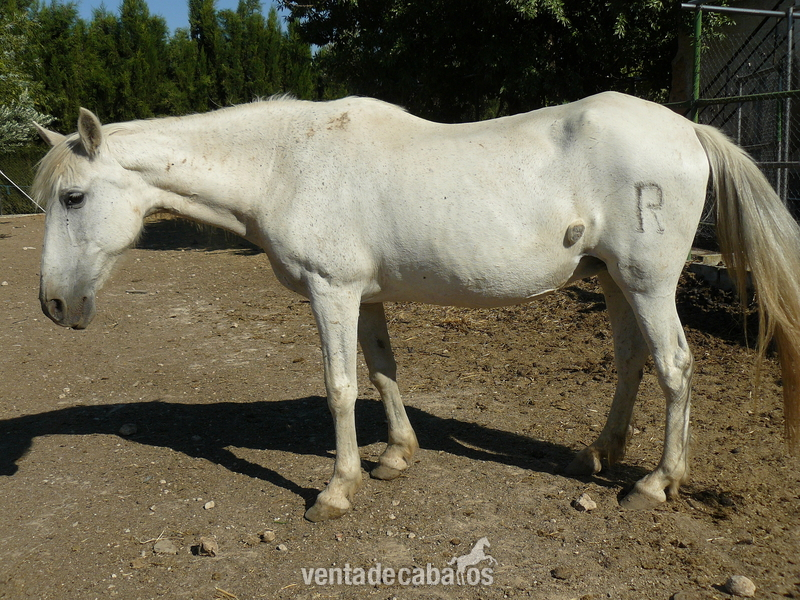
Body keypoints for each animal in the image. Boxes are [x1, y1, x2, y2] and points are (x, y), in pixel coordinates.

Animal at [33, 91, 800, 522]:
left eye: (73, 197)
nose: (53, 303)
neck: (285, 164)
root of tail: (687, 130)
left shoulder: (332, 290)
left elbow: (340, 386)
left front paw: (337, 490)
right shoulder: (364, 295)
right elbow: (382, 371)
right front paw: (396, 456)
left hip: (647, 281)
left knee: (675, 367)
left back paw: (655, 483)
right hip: (614, 281)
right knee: (633, 361)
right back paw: (600, 454)